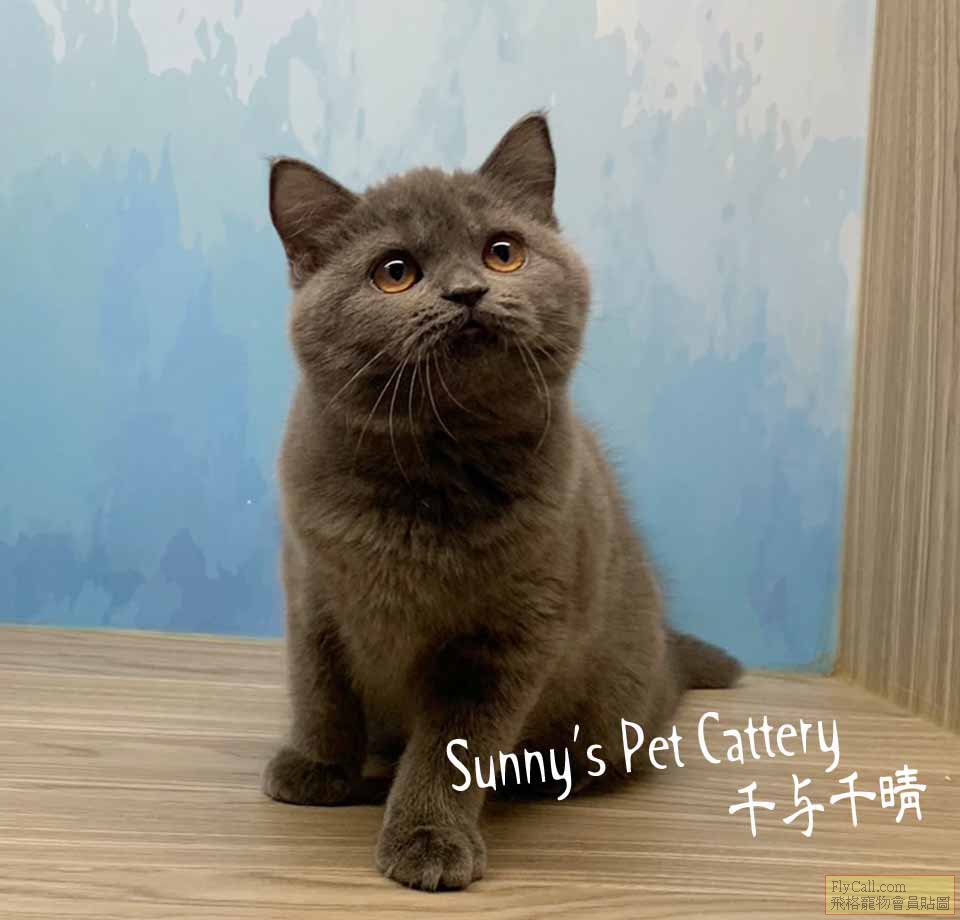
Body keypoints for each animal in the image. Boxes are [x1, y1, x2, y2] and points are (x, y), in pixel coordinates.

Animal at [262, 112, 741, 891]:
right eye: (395, 272)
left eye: (503, 253)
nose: (467, 293)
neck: (427, 474)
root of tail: (667, 664)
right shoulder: (312, 589)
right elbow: (321, 689)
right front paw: (316, 767)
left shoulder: (508, 634)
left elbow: (453, 746)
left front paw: (427, 838)